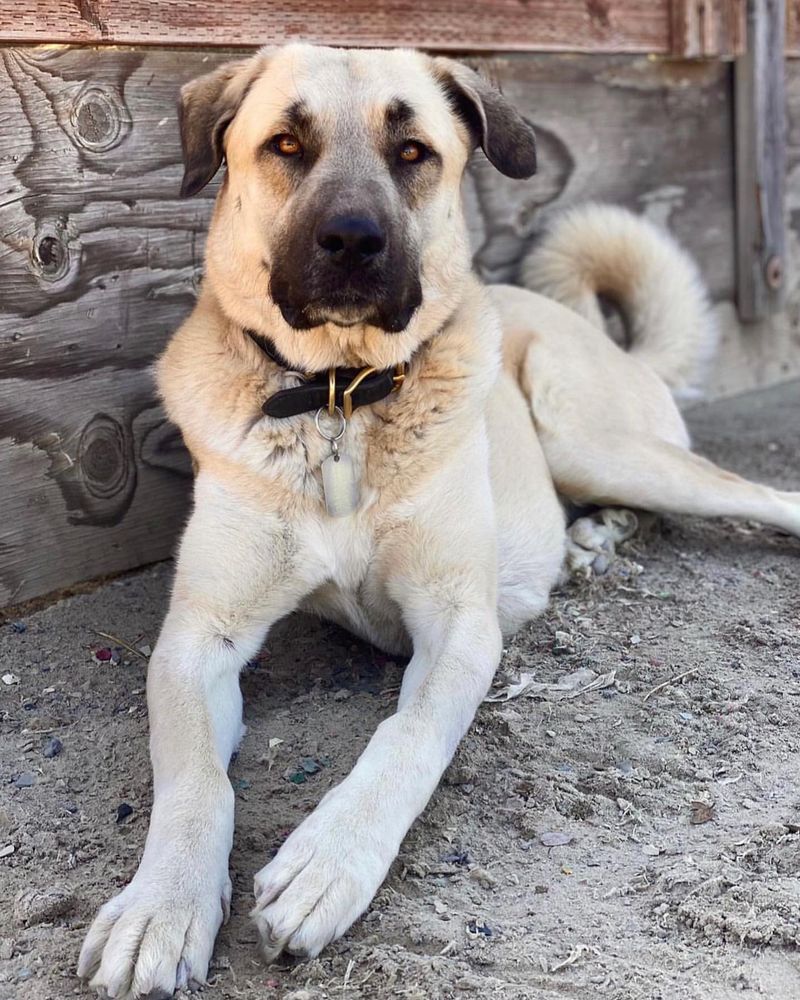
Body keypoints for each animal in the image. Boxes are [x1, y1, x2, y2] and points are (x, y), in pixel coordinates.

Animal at [76, 43, 800, 996]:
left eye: (414, 151)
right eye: (285, 144)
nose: (353, 241)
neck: (340, 399)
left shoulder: (459, 625)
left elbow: (408, 737)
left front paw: (327, 865)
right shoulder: (199, 637)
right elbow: (195, 777)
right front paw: (159, 907)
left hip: (591, 436)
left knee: (760, 498)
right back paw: (593, 541)